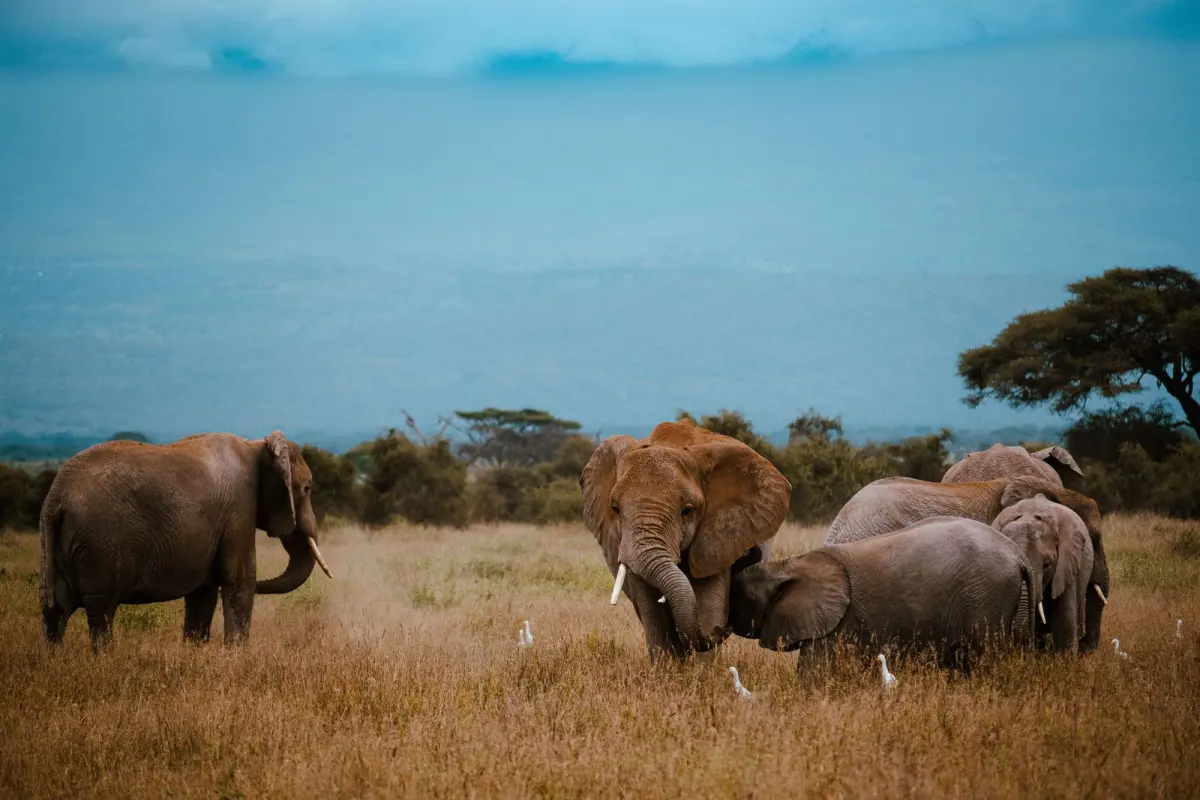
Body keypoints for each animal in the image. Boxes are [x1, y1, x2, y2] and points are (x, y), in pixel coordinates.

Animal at [39, 431, 333, 650]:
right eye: (307, 489)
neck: (257, 445)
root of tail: (56, 498)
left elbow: (204, 591)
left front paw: (195, 653)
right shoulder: (239, 510)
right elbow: (239, 581)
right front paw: (237, 656)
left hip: (56, 544)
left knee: (54, 609)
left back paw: (54, 660)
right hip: (99, 544)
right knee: (101, 609)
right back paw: (105, 659)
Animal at [580, 418, 791, 661]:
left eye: (687, 511)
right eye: (615, 508)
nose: (725, 629)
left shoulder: (715, 541)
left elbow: (707, 609)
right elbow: (654, 615)